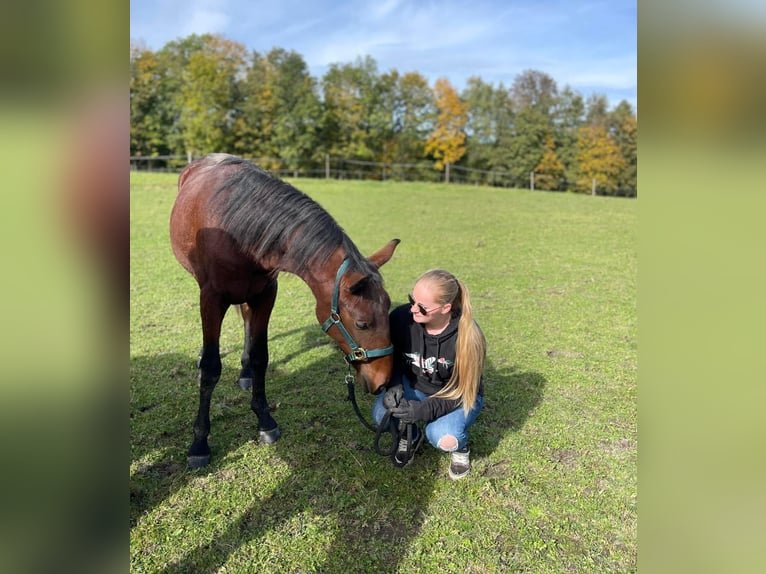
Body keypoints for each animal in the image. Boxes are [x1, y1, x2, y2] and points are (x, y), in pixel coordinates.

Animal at [170, 155, 402, 470]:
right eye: (363, 324)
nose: (383, 381)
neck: (240, 229)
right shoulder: (211, 298)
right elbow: (210, 368)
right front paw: (199, 443)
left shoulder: (266, 293)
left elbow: (260, 357)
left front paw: (264, 419)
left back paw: (244, 372)